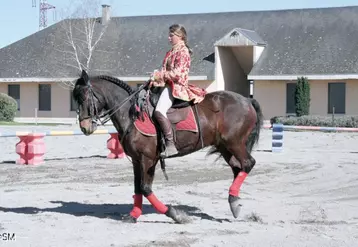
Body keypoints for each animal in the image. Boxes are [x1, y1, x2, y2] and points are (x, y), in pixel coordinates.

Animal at [72, 70, 262, 224]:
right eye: (76, 99)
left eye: (85, 97)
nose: (85, 127)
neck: (131, 114)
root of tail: (247, 100)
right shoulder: (136, 160)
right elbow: (137, 188)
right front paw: (133, 215)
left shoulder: (148, 159)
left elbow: (145, 188)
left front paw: (176, 215)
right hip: (224, 146)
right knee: (238, 168)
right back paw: (234, 202)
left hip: (234, 143)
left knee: (248, 164)